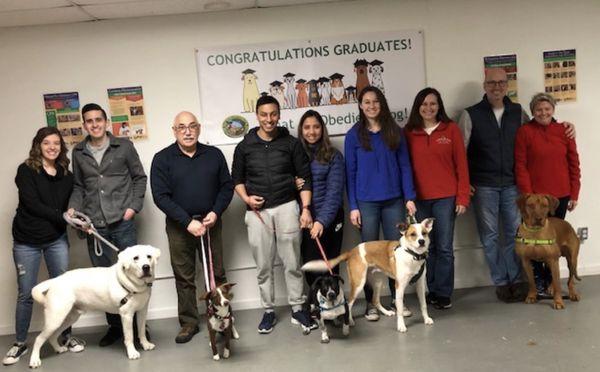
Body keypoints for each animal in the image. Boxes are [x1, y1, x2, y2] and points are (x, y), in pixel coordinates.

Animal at [28, 243, 161, 368]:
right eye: (135, 258)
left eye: (149, 256)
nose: (146, 267)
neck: (135, 286)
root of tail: (55, 280)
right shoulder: (126, 315)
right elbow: (129, 337)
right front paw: (132, 352)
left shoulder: (142, 312)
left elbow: (141, 331)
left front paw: (145, 344)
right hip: (55, 319)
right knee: (39, 339)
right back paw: (34, 360)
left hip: (68, 318)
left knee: (52, 336)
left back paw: (58, 349)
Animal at [302, 217, 434, 332]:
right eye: (413, 234)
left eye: (424, 233)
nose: (421, 241)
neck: (413, 255)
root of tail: (351, 252)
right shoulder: (399, 287)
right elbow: (400, 309)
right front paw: (401, 326)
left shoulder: (420, 285)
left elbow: (423, 305)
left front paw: (426, 319)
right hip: (359, 283)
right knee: (349, 303)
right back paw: (350, 321)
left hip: (378, 282)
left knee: (375, 300)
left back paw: (386, 312)